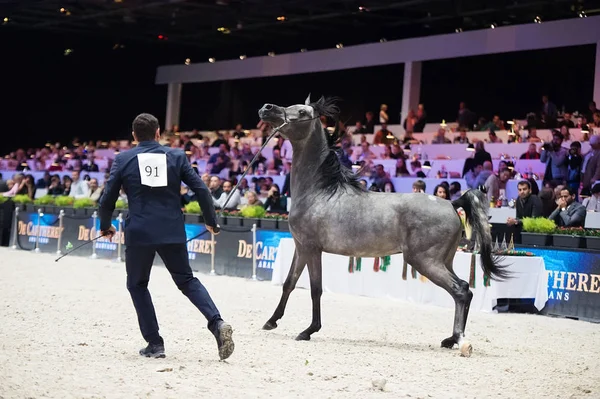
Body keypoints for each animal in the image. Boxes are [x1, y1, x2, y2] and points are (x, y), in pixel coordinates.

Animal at [255, 96, 508, 356]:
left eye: (303, 112)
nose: (267, 108)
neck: (319, 192)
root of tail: (451, 202)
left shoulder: (312, 248)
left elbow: (316, 289)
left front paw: (308, 331)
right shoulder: (299, 247)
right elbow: (289, 283)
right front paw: (271, 321)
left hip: (425, 261)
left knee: (460, 290)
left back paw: (460, 340)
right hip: (444, 261)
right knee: (465, 290)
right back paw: (451, 339)